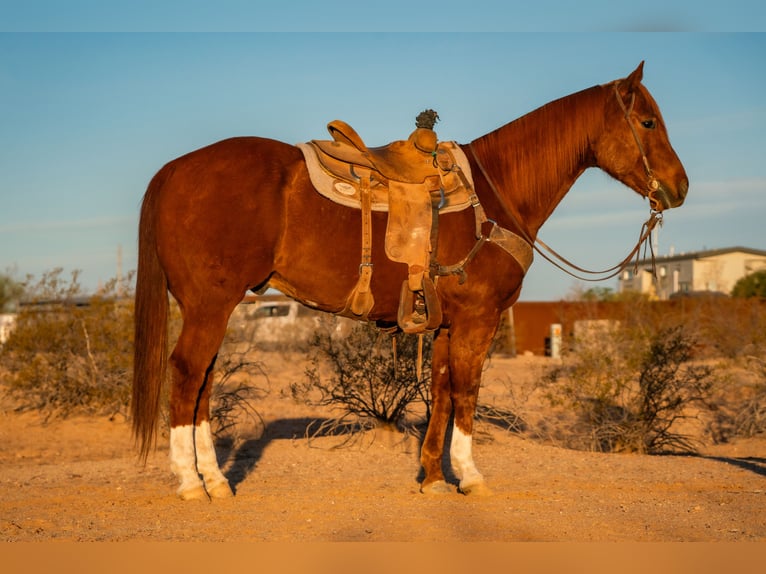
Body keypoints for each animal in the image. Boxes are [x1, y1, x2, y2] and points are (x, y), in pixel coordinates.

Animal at [132, 63, 688, 502]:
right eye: (647, 121)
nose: (680, 187)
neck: (496, 192)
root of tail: (173, 170)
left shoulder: (446, 324)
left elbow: (440, 391)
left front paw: (432, 477)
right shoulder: (479, 320)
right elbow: (467, 390)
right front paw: (470, 475)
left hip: (212, 307)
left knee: (204, 381)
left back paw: (216, 481)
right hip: (210, 305)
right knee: (188, 374)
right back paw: (190, 483)